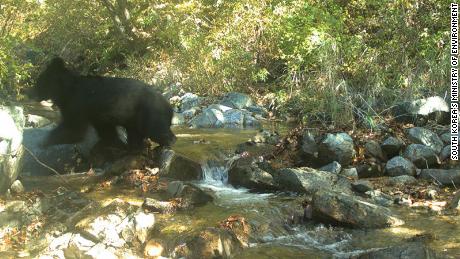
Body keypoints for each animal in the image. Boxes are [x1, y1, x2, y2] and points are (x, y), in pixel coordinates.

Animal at [35, 57, 176, 149]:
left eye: (38, 82)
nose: (31, 93)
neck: (65, 91)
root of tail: (169, 105)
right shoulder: (97, 116)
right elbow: (106, 131)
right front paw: (114, 143)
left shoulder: (77, 104)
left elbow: (73, 129)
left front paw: (44, 141)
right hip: (134, 118)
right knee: (136, 133)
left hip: (149, 112)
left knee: (156, 129)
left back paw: (168, 142)